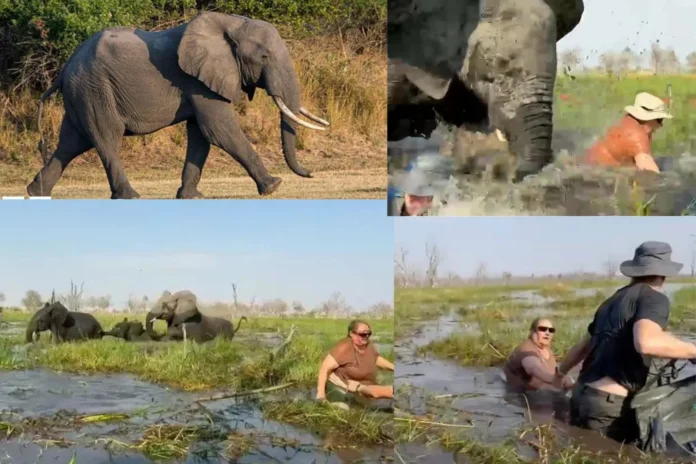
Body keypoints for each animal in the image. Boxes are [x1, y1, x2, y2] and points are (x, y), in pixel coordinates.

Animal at [26, 11, 330, 200]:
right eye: (264, 57)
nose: (312, 173)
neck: (232, 24)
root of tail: (65, 68)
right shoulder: (197, 82)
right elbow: (219, 130)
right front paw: (274, 187)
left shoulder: (200, 83)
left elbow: (201, 136)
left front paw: (191, 197)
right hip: (95, 90)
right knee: (106, 139)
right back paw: (130, 196)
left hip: (83, 93)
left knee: (71, 143)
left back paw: (36, 193)